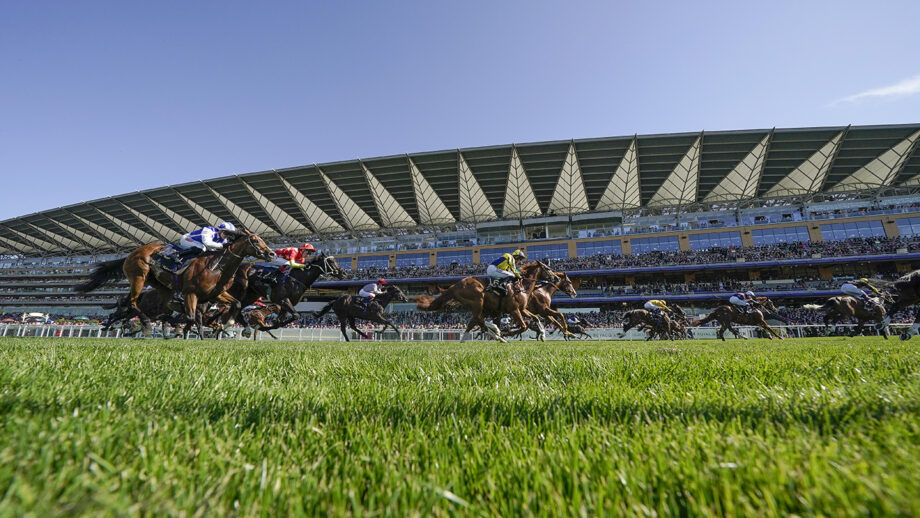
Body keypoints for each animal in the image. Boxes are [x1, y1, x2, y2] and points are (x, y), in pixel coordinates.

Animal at [76, 231, 274, 338]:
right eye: (255, 240)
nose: (271, 254)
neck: (216, 266)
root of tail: (131, 253)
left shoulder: (216, 294)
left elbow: (237, 304)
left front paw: (235, 326)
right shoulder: (191, 294)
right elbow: (192, 319)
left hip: (160, 286)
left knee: (158, 311)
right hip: (138, 277)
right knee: (132, 305)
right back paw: (144, 326)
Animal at [418, 262, 560, 344]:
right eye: (547, 268)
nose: (557, 278)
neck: (521, 286)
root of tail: (456, 285)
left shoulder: (522, 309)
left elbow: (535, 317)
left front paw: (543, 334)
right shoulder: (514, 310)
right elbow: (524, 326)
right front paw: (506, 333)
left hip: (480, 307)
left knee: (475, 321)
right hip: (478, 301)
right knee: (479, 321)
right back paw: (498, 335)